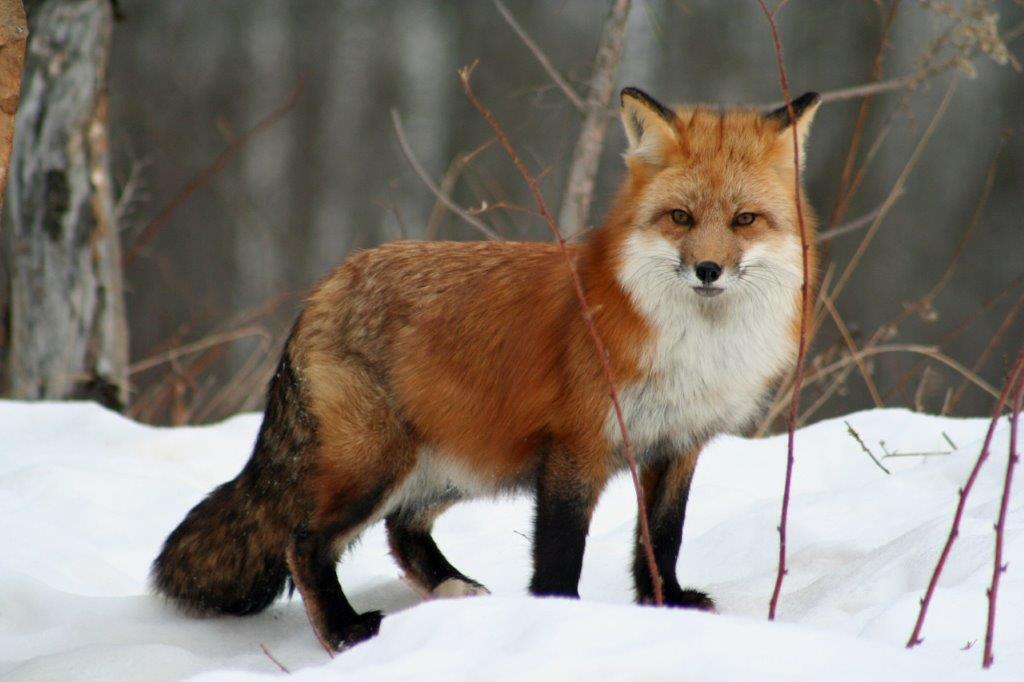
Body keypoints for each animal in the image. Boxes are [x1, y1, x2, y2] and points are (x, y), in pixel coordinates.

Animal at [152, 86, 821, 650]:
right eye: (680, 217)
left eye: (744, 220)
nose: (708, 269)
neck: (694, 349)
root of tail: (324, 285)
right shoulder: (577, 445)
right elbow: (560, 551)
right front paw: (556, 619)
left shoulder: (678, 444)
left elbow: (660, 537)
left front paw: (667, 606)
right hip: (379, 461)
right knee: (306, 540)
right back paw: (344, 630)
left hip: (454, 465)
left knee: (402, 529)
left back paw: (453, 590)